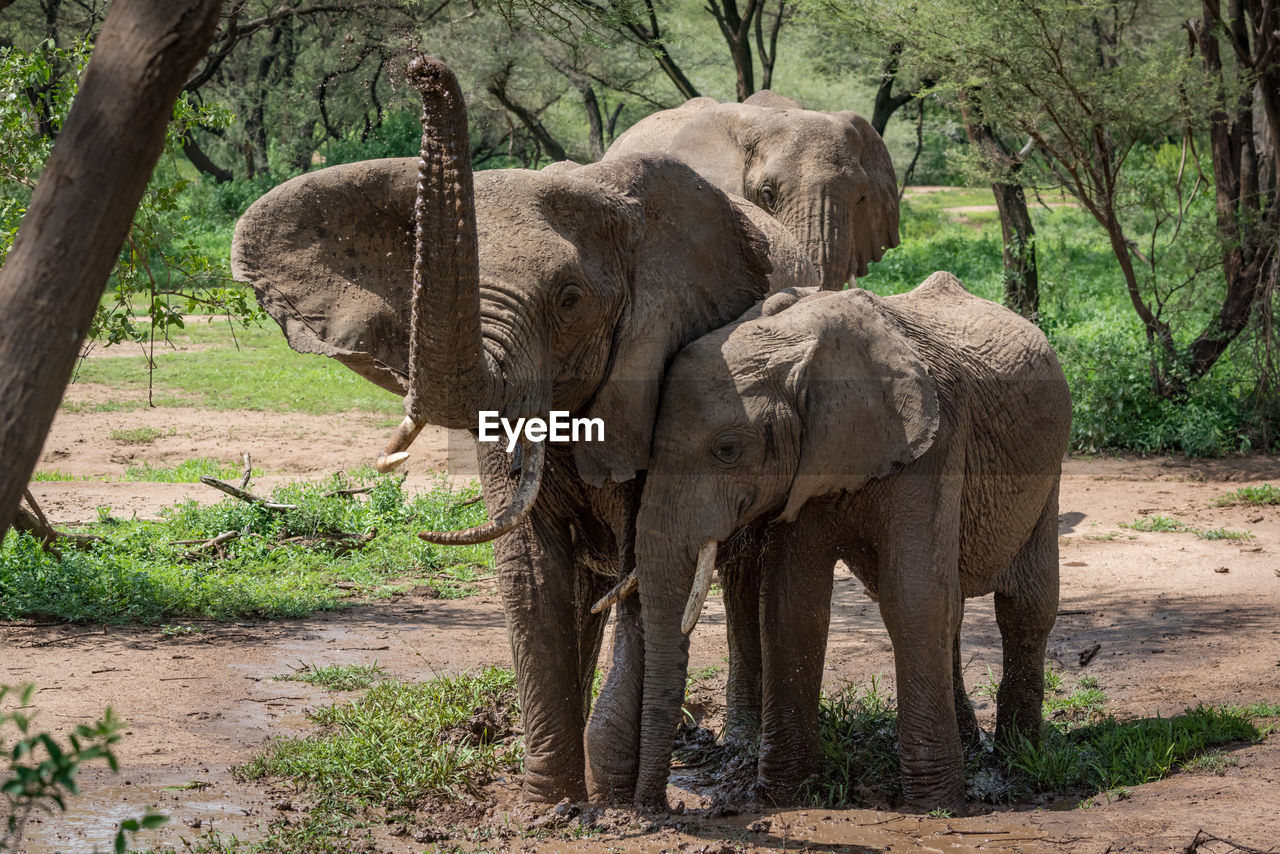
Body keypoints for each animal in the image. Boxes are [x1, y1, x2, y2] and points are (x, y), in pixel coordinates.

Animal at [227, 56, 819, 804]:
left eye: (569, 300)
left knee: (740, 575)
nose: (423, 69)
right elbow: (532, 573)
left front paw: (614, 799)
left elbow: (643, 561)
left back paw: (736, 746)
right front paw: (550, 805)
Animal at [614, 272, 1075, 809]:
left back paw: (1017, 759)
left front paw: (936, 805)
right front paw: (784, 795)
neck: (799, 345)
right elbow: (791, 606)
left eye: (727, 450)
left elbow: (914, 599)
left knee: (1025, 604)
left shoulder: (935, 446)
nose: (655, 805)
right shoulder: (806, 469)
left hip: (1050, 465)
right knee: (957, 606)